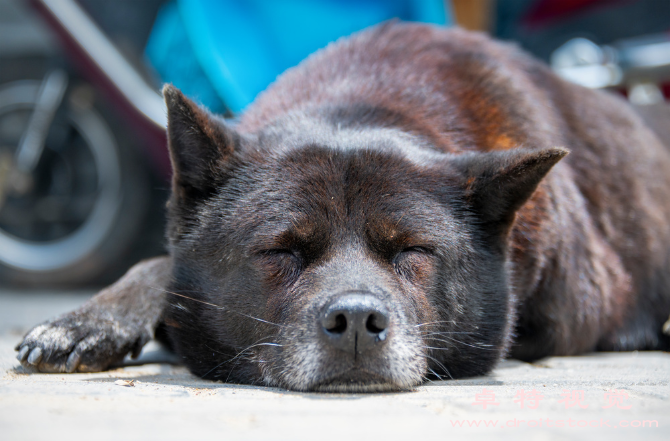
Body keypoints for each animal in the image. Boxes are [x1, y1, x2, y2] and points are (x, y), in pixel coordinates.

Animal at [14, 21, 670, 392]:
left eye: (413, 250)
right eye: (280, 251)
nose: (356, 321)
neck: (357, 105)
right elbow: (158, 266)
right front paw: (88, 321)